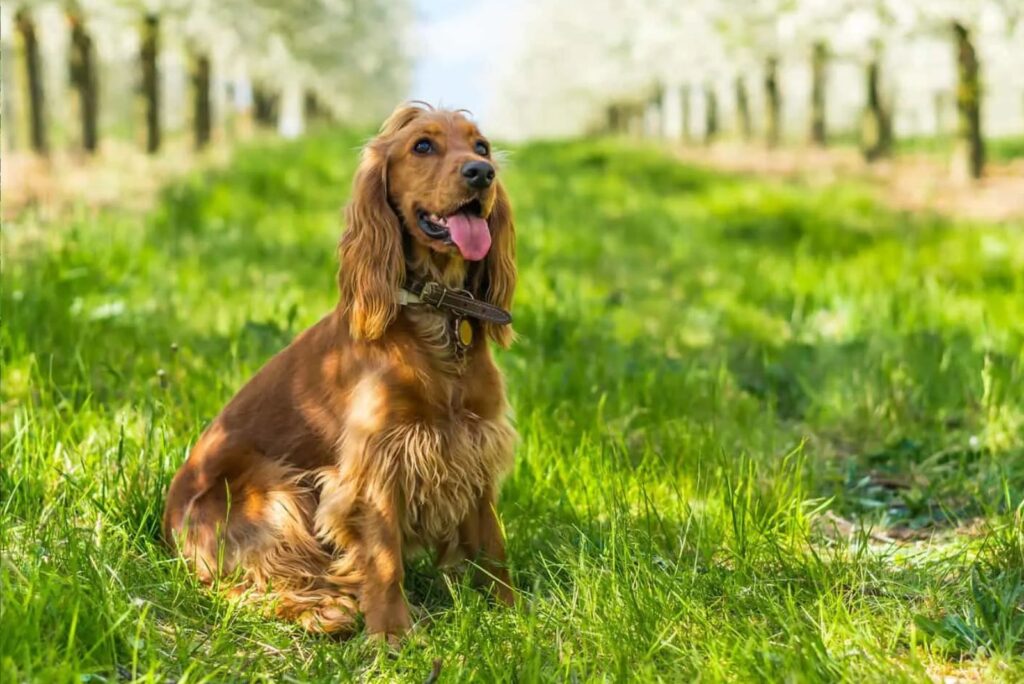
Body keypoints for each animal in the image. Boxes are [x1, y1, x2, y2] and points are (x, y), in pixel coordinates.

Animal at [167, 101, 524, 643]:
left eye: (481, 146)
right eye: (422, 146)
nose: (482, 173)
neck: (436, 315)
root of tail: (167, 527)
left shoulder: (475, 444)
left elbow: (491, 543)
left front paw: (514, 615)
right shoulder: (378, 460)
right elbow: (384, 559)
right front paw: (394, 635)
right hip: (272, 490)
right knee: (245, 587)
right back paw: (327, 612)